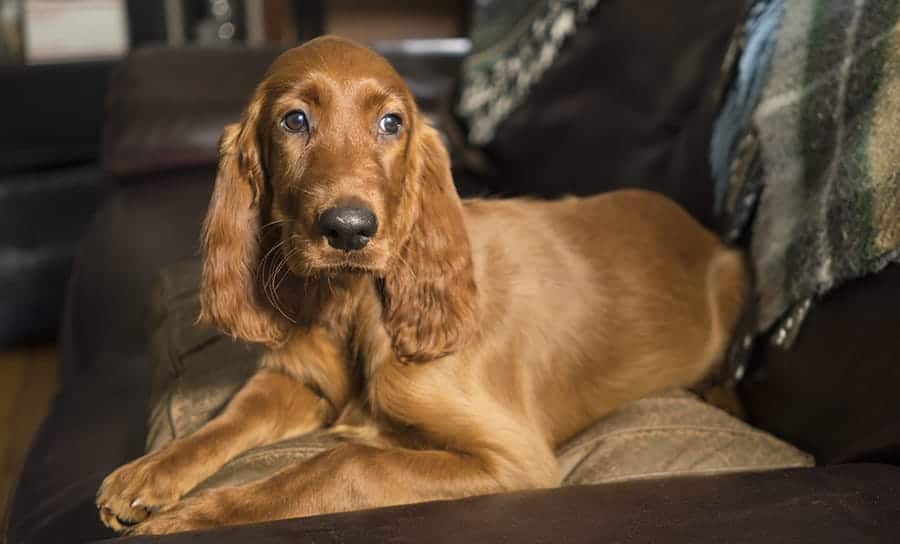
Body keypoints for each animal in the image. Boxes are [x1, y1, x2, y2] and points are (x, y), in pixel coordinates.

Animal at [96, 35, 744, 536]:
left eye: (391, 123)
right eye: (294, 120)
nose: (349, 228)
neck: (352, 303)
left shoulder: (516, 458)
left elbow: (343, 462)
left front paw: (187, 519)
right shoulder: (297, 379)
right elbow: (227, 418)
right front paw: (146, 474)